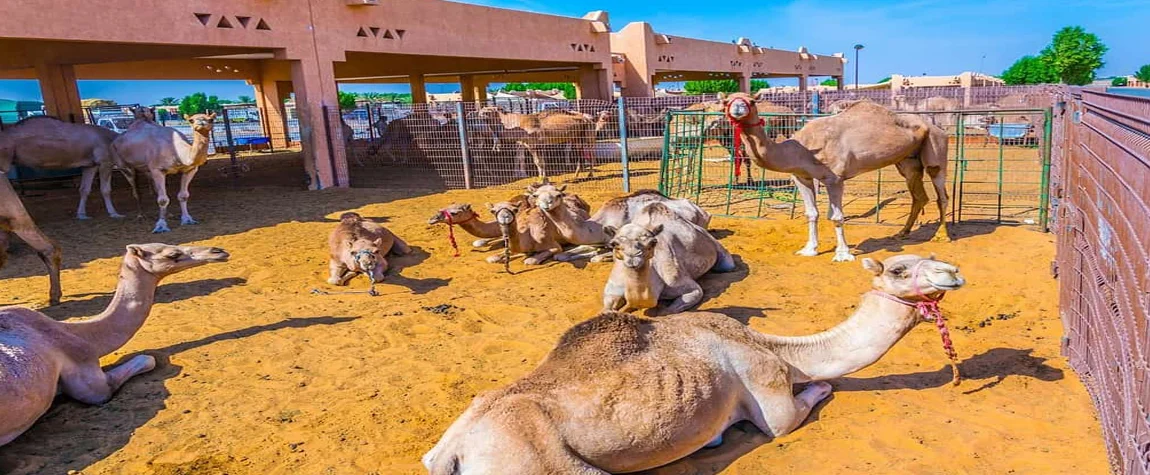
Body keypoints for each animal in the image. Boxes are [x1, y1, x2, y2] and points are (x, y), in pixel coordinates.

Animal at [423, 255, 961, 473]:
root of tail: (451, 452)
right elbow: (792, 415)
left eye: (936, 256)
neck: (778, 349)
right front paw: (823, 389)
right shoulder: (767, 388)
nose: (953, 272)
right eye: (899, 269)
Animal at [598, 201, 731, 315]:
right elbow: (607, 308)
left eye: (653, 242)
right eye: (614, 244)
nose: (633, 256)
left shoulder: (687, 286)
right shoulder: (613, 286)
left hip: (716, 246)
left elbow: (668, 311)